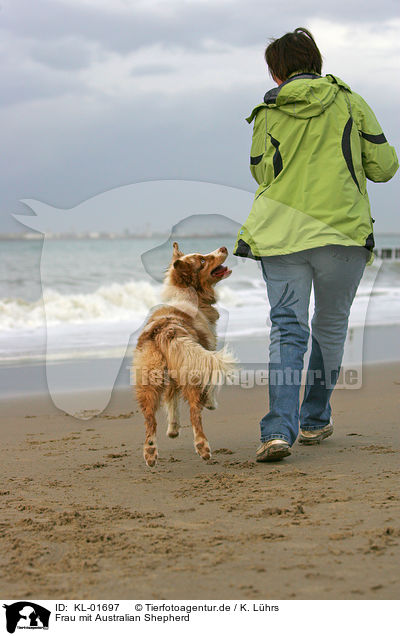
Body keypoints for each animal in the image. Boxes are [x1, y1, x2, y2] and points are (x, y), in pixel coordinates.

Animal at [133, 241, 236, 464]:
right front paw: (211, 403)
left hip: (148, 379)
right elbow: (210, 383)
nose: (224, 248)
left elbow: (171, 399)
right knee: (194, 413)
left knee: (150, 418)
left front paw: (172, 429)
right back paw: (203, 446)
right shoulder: (206, 352)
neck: (188, 294)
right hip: (190, 373)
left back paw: (150, 451)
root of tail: (165, 329)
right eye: (203, 261)